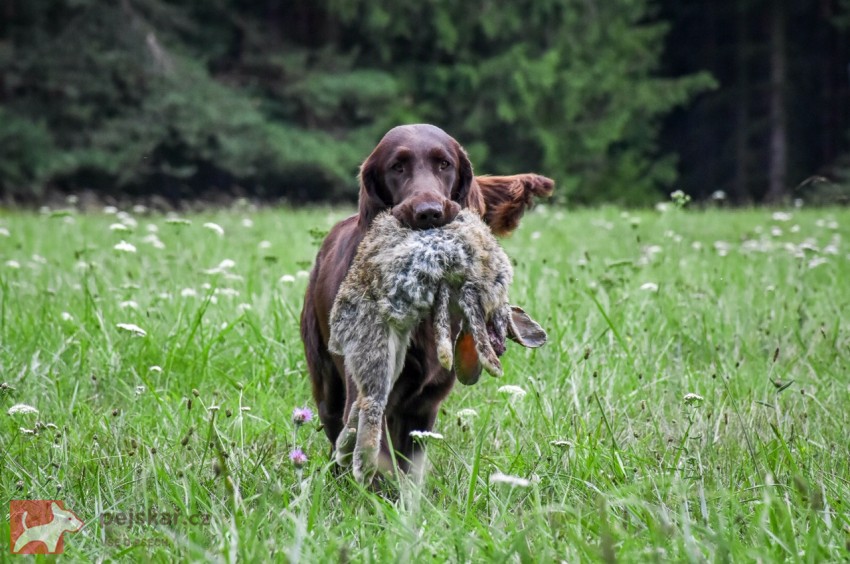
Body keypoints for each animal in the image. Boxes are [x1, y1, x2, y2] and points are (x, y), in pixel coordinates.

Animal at [298, 123, 548, 472]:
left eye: (444, 164)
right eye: (396, 167)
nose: (428, 212)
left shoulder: (424, 404)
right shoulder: (366, 390)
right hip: (326, 381)